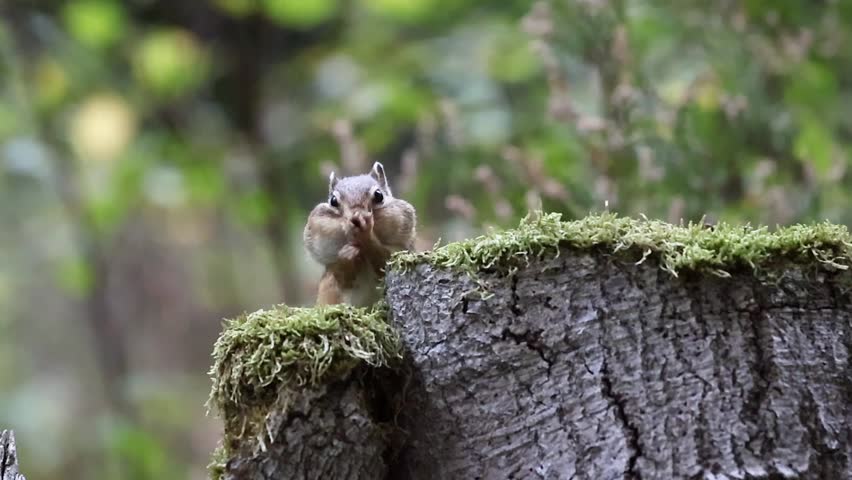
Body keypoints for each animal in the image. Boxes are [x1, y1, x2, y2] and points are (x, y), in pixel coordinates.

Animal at [303, 162, 416, 307]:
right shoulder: (331, 272)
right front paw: (346, 255)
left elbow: (384, 262)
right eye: (333, 201)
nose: (356, 217)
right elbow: (342, 278)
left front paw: (366, 234)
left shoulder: (398, 252)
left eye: (379, 195)